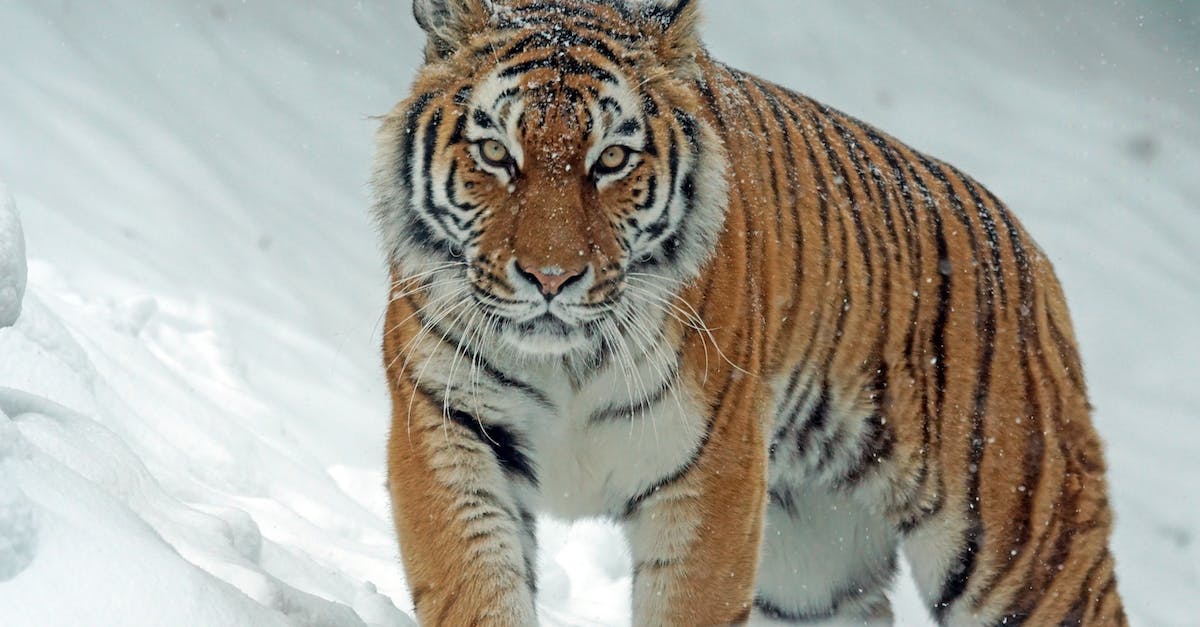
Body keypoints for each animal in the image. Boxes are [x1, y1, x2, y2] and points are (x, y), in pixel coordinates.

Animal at [371, 0, 1126, 624]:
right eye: (495, 152)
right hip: (811, 571)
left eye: (611, 159)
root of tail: (1027, 249)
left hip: (1024, 546)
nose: (551, 277)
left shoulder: (713, 475)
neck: (568, 362)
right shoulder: (448, 429)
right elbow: (476, 589)